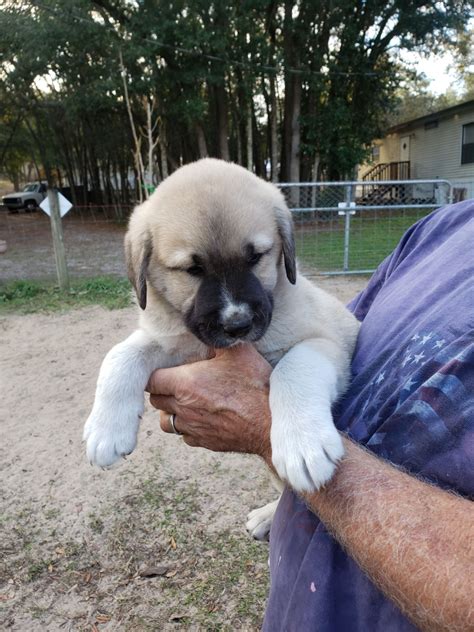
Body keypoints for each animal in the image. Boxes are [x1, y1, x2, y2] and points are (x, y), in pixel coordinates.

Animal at [84, 158, 360, 540]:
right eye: (192, 269)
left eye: (256, 257)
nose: (237, 324)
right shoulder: (171, 341)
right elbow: (120, 355)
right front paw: (105, 430)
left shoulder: (324, 342)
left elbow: (294, 370)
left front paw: (303, 443)